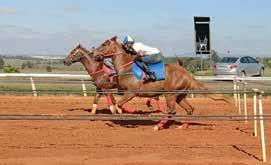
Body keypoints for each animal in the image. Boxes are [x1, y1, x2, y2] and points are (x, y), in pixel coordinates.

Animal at [93, 36, 232, 130]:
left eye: (104, 44)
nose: (94, 53)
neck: (126, 67)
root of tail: (187, 74)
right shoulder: (121, 90)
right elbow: (113, 98)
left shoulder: (131, 93)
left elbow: (119, 104)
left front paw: (123, 116)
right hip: (180, 96)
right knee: (189, 109)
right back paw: (183, 126)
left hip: (170, 94)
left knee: (172, 111)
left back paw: (158, 126)